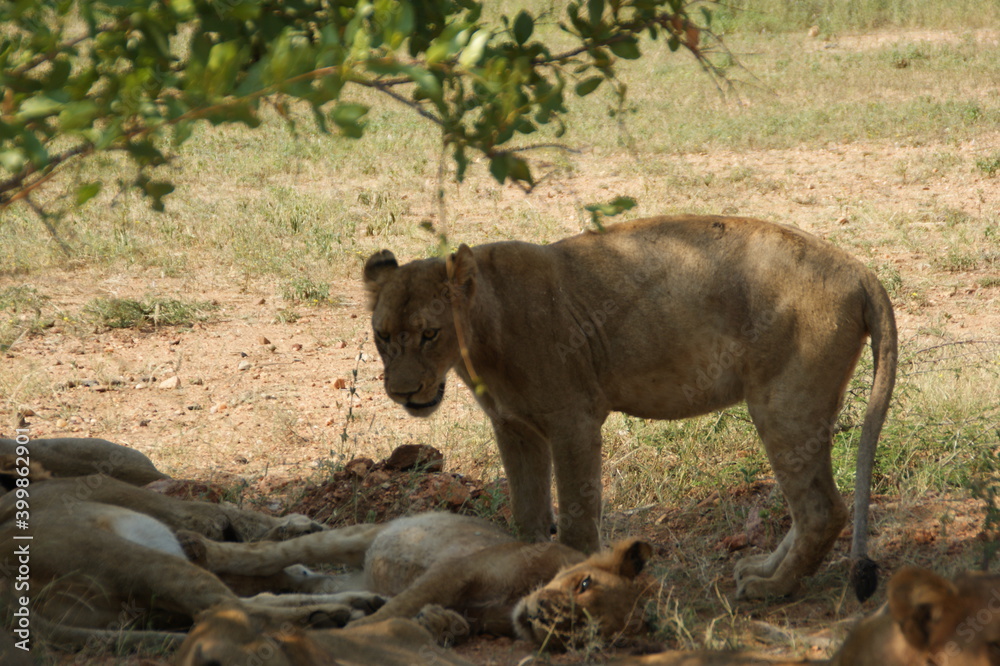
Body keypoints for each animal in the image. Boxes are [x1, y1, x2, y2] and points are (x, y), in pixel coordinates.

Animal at [364, 214, 898, 600]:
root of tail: (859, 270)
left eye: (430, 334)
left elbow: (577, 518)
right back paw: (764, 569)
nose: (402, 392)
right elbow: (527, 516)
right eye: (382, 336)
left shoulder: (574, 422)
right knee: (809, 505)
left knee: (823, 508)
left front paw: (570, 582)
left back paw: (774, 589)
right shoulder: (514, 429)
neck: (481, 335)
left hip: (783, 403)